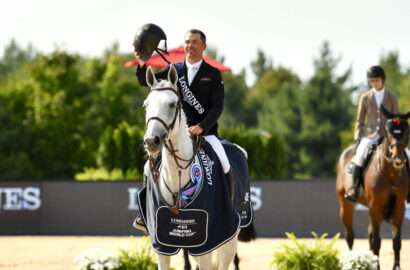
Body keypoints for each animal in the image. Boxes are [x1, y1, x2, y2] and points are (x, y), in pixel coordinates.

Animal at [142, 66, 237, 270]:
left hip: (230, 237)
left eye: (172, 104)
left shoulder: (207, 243)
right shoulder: (161, 245)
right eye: (146, 105)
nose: (151, 141)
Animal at [336, 106, 410, 268]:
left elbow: (396, 242)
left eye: (406, 131)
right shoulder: (375, 206)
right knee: (350, 236)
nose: (398, 159)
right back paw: (349, 261)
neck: (391, 173)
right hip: (345, 205)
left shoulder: (399, 207)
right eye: (388, 131)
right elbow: (376, 241)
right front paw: (377, 266)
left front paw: (396, 267)